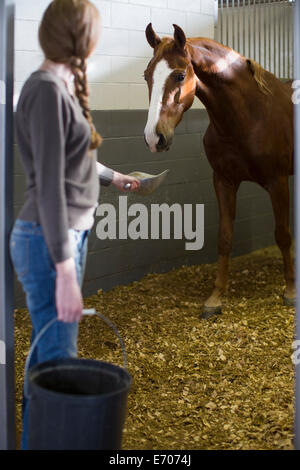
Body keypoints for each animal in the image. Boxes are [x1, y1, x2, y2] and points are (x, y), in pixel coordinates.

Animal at [144, 23, 296, 322]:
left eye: (180, 75)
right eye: (147, 76)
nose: (154, 138)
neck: (250, 116)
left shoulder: (278, 182)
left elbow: (282, 234)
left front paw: (291, 291)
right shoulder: (224, 181)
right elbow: (224, 237)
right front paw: (216, 297)